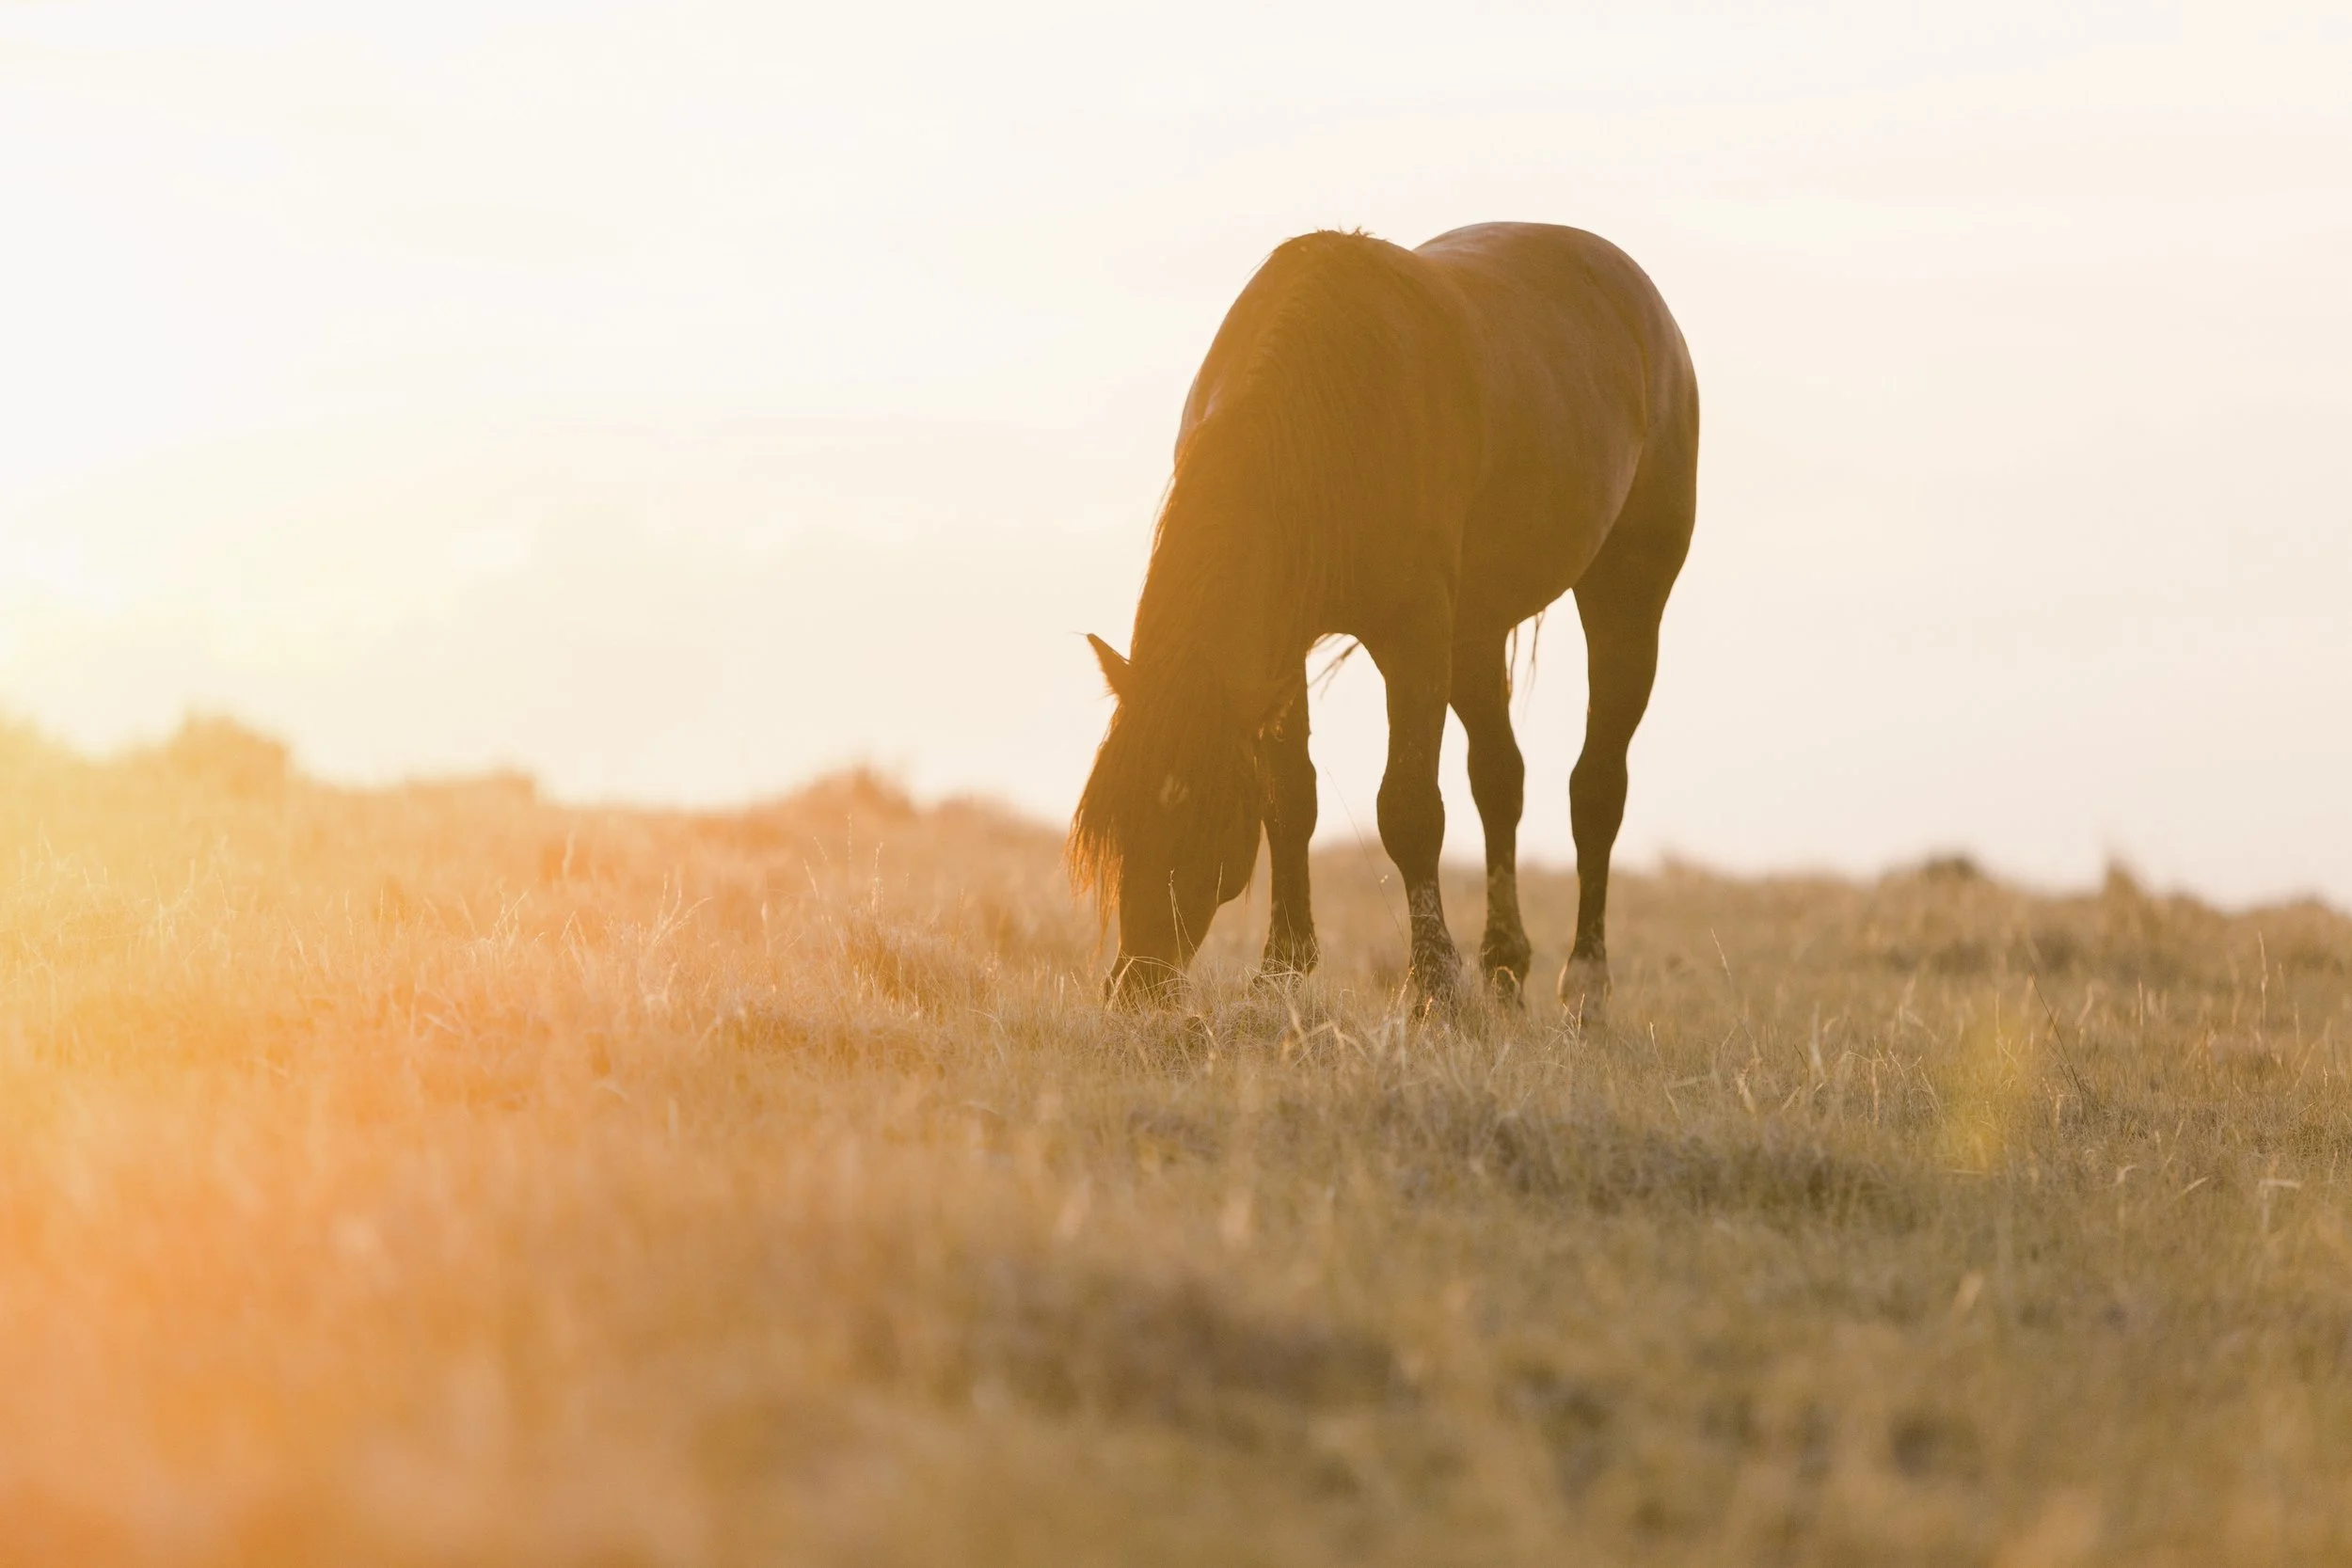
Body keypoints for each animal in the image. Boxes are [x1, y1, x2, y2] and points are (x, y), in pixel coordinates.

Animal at [1070, 222, 1697, 1012]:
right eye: (1118, 824)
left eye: (1195, 816)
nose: (1136, 982)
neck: (1323, 404)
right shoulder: (1286, 648)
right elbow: (1291, 796)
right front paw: (1281, 968)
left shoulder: (1413, 632)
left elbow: (1409, 808)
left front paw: (1435, 987)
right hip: (1476, 629)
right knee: (1500, 778)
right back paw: (1504, 966)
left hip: (1626, 597)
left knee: (1597, 787)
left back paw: (1584, 982)